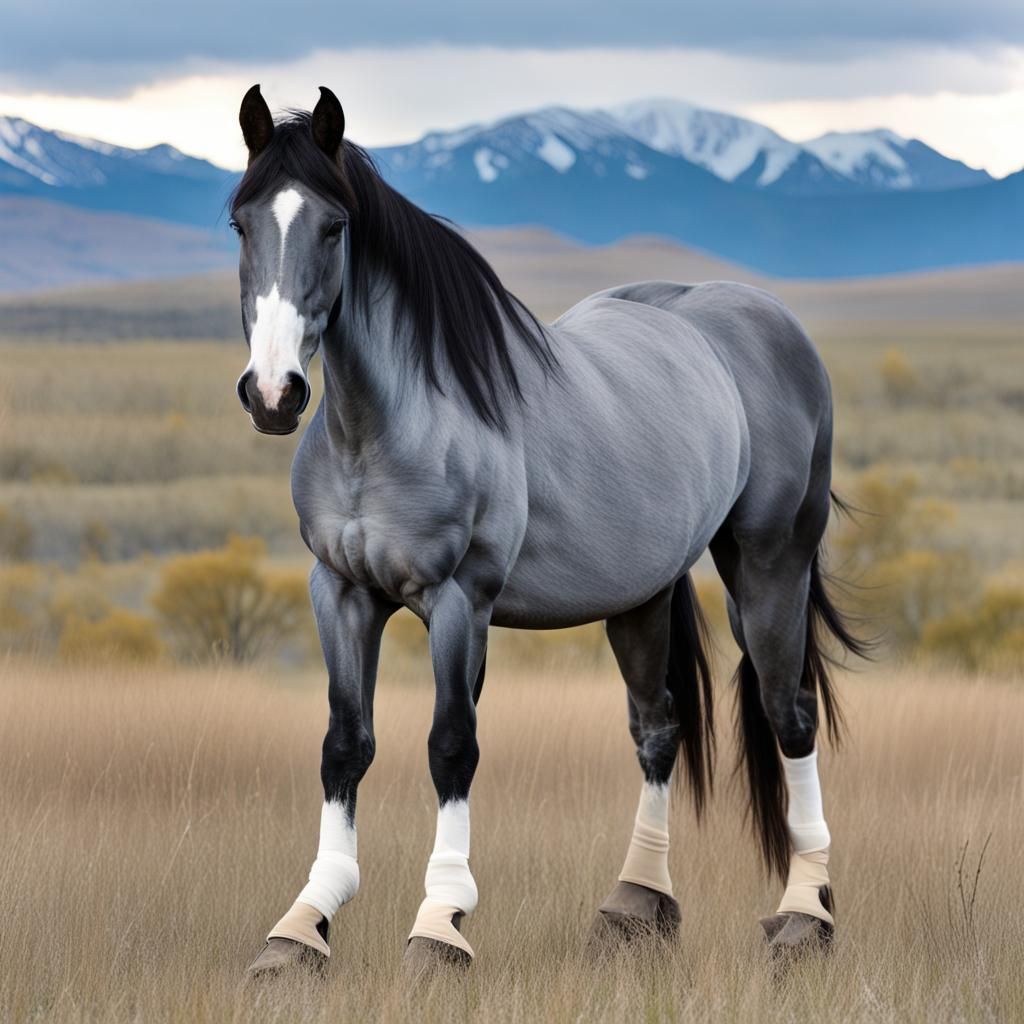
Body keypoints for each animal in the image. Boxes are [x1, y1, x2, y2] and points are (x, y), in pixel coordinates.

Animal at [230, 85, 862, 978]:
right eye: (240, 223)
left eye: (333, 225)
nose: (274, 393)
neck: (385, 429)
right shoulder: (342, 593)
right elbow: (345, 745)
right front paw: (302, 926)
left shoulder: (460, 602)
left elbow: (451, 745)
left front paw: (440, 924)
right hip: (641, 595)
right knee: (658, 727)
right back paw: (635, 904)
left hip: (770, 565)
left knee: (790, 714)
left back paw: (806, 911)